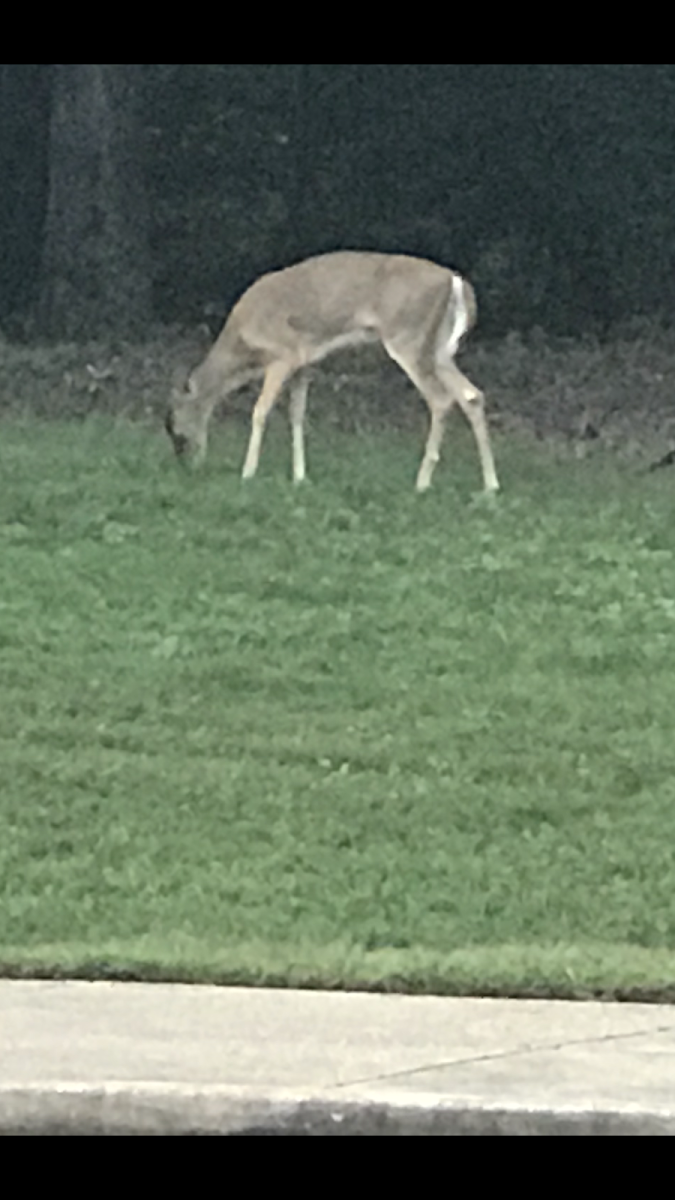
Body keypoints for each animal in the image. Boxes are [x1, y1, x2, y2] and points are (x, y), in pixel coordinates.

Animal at [164, 250, 497, 494]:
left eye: (175, 427)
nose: (186, 465)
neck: (243, 346)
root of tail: (455, 281)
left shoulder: (283, 355)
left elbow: (260, 411)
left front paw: (247, 473)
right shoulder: (305, 364)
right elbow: (297, 415)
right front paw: (300, 477)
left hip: (408, 336)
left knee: (441, 399)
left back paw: (422, 483)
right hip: (438, 349)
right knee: (471, 395)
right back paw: (490, 486)